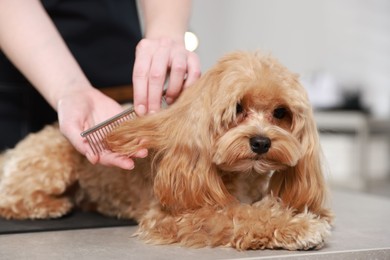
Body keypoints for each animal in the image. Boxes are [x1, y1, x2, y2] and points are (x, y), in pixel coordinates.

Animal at [0, 51, 332, 250]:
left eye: (280, 112)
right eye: (237, 107)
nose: (261, 142)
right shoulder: (174, 216)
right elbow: (237, 215)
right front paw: (297, 226)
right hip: (52, 164)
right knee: (11, 200)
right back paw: (50, 206)